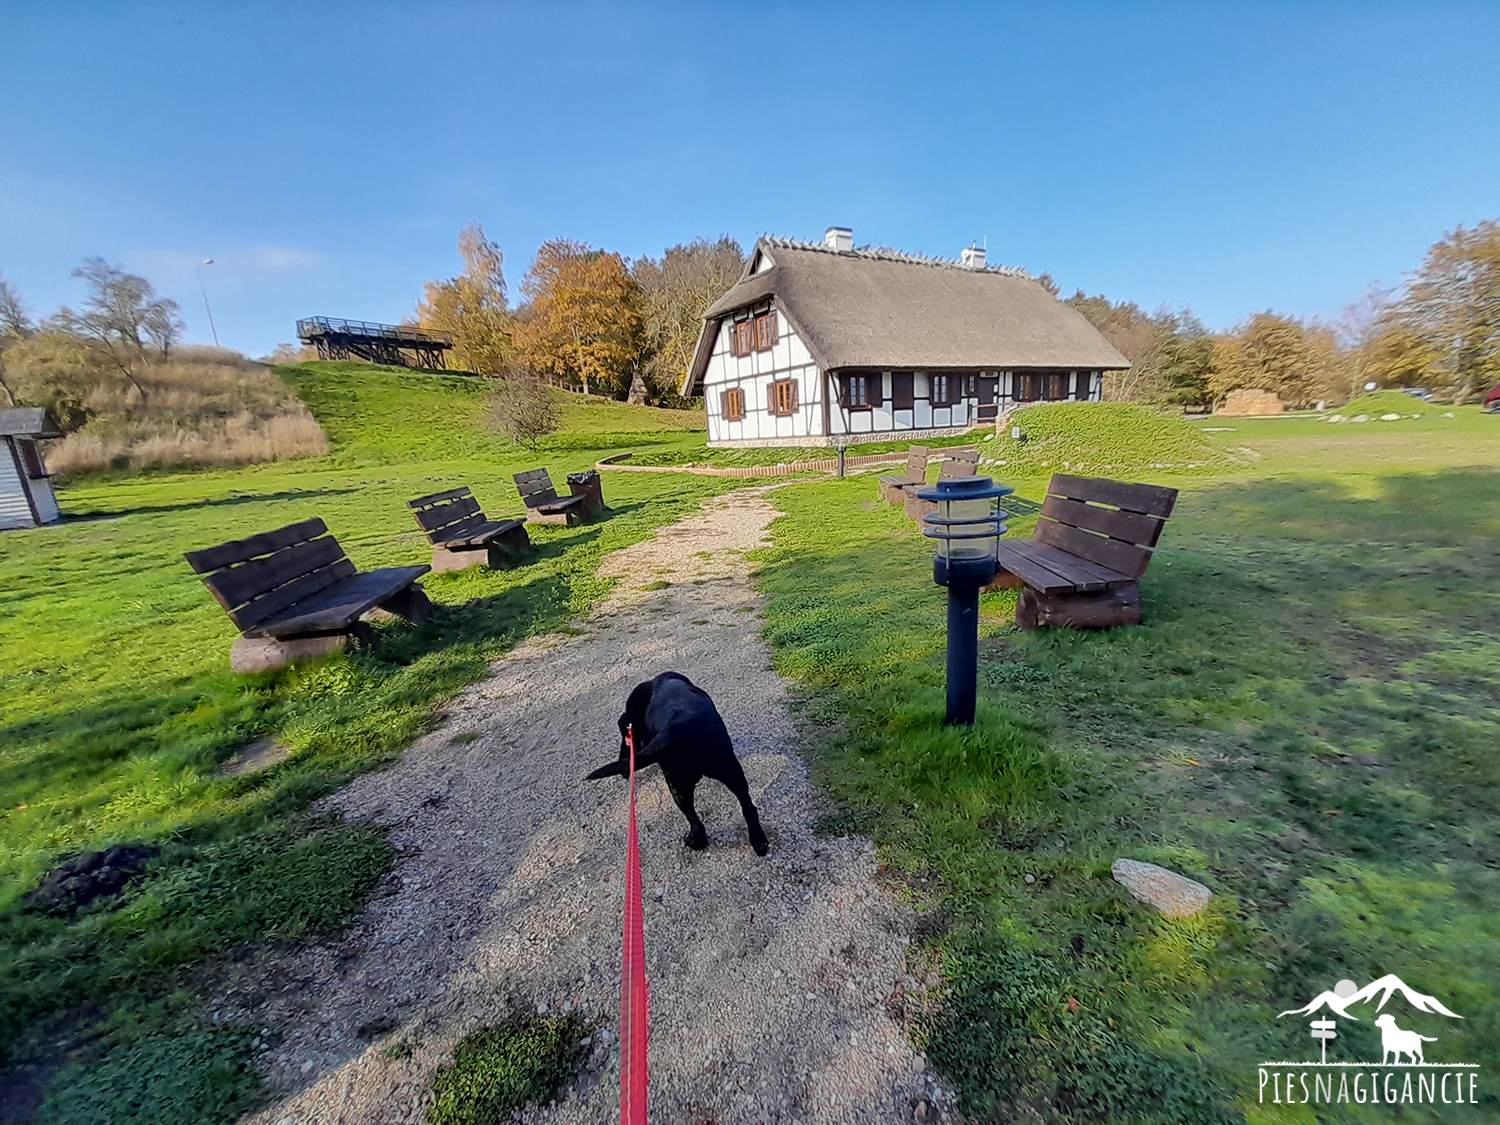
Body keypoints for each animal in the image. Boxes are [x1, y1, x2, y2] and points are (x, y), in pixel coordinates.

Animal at [588, 675, 774, 858]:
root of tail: (677, 727)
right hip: (726, 772)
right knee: (743, 807)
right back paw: (758, 841)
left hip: (683, 782)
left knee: (699, 819)